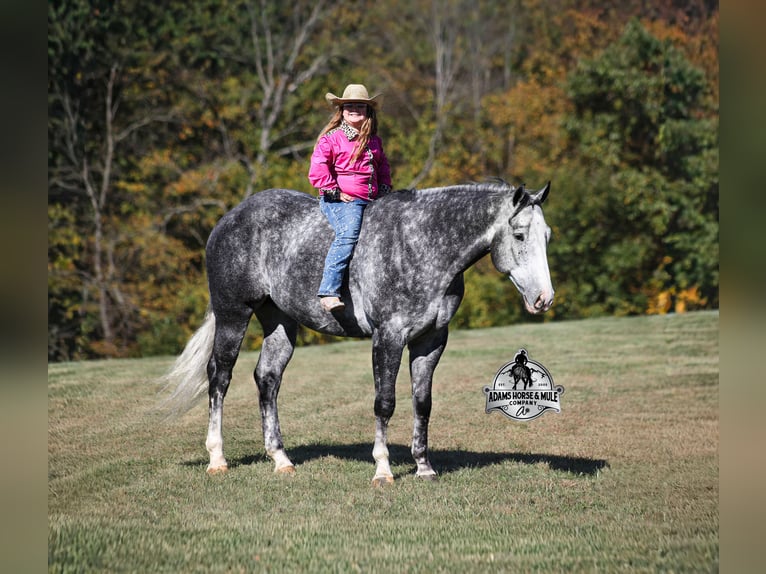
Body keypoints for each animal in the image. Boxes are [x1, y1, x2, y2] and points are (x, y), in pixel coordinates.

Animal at [162, 181, 554, 485]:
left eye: (547, 236)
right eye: (519, 235)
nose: (543, 299)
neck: (420, 245)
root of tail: (229, 219)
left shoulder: (430, 341)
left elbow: (422, 403)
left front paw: (424, 467)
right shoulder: (388, 337)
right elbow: (385, 402)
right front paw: (383, 470)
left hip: (280, 321)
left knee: (267, 379)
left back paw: (281, 460)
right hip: (234, 314)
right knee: (220, 377)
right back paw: (217, 459)